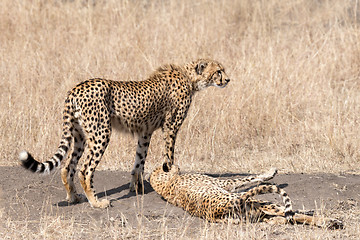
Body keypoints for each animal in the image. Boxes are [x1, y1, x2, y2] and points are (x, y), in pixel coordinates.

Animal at [19, 58, 231, 208]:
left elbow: (139, 161)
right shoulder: (171, 127)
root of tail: (76, 88)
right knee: (85, 169)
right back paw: (96, 203)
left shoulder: (145, 132)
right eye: (218, 71)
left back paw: (73, 197)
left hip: (79, 134)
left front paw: (136, 187)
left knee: (67, 166)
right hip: (101, 133)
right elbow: (169, 156)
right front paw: (171, 178)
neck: (189, 77)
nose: (228, 79)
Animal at [148, 164, 344, 230]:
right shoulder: (225, 184)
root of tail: (217, 211)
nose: (175, 164)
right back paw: (329, 221)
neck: (165, 184)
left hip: (254, 214)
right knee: (290, 213)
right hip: (259, 202)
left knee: (282, 218)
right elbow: (247, 178)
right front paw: (270, 172)